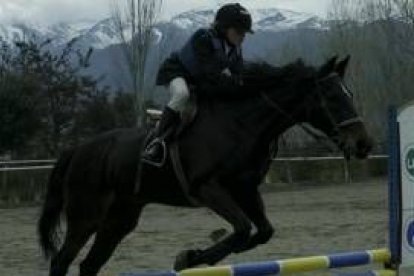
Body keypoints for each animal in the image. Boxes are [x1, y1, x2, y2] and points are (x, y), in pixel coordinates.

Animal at [38, 55, 372, 274]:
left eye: (351, 94)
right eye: (332, 96)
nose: (364, 145)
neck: (242, 124)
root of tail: (77, 149)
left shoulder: (245, 189)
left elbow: (261, 231)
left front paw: (197, 254)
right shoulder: (207, 188)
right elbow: (241, 228)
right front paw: (188, 258)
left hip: (119, 219)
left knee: (89, 264)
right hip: (86, 216)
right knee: (62, 260)